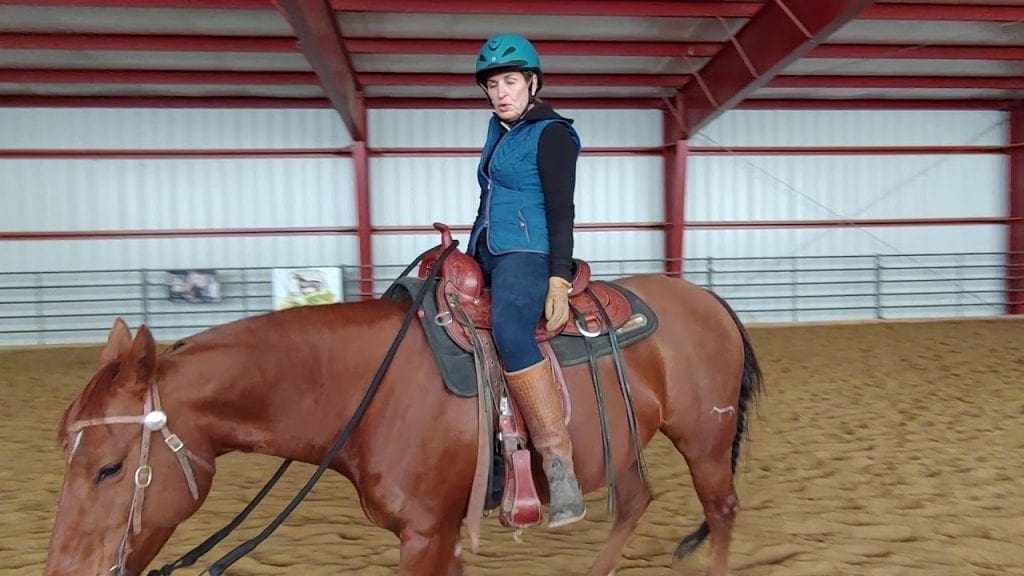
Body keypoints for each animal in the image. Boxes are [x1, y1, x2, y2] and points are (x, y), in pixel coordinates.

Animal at [44, 273, 762, 576]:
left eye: (110, 468)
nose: (63, 574)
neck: (369, 391)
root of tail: (706, 297)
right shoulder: (441, 537)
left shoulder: (423, 535)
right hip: (625, 448)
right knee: (637, 499)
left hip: (704, 440)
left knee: (723, 510)